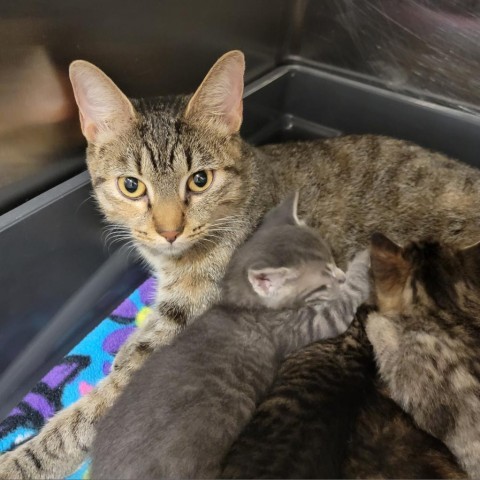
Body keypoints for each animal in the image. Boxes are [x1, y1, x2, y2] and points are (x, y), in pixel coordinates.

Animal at [91, 195, 372, 480]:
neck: (238, 303)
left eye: (333, 260)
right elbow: (343, 304)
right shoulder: (299, 324)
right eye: (323, 285)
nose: (341, 275)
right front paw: (365, 260)